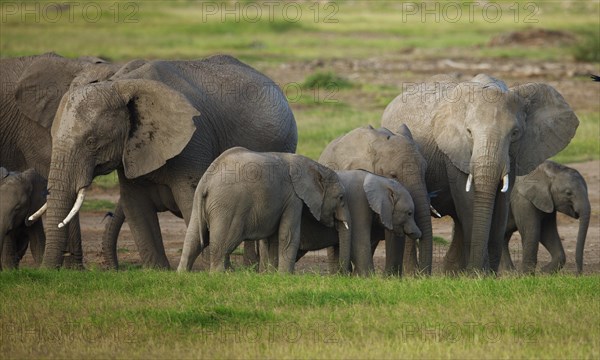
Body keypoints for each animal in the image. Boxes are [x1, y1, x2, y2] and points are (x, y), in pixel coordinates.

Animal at [30, 54, 298, 268]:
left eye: (91, 141)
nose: (47, 272)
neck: (121, 83)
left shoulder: (194, 141)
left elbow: (191, 202)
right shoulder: (132, 150)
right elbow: (136, 209)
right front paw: (158, 271)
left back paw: (253, 270)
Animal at [176, 146, 350, 272]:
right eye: (341, 197)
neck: (315, 166)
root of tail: (207, 182)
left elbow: (272, 240)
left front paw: (271, 275)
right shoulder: (293, 198)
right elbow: (287, 236)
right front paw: (285, 277)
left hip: (200, 202)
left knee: (192, 238)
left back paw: (183, 274)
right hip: (228, 206)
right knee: (224, 243)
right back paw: (219, 275)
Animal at [382, 74, 580, 272]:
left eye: (515, 133)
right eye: (469, 132)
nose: (480, 270)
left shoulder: (514, 154)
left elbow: (501, 206)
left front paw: (486, 274)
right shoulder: (454, 150)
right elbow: (468, 201)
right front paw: (477, 273)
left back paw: (451, 273)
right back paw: (415, 274)